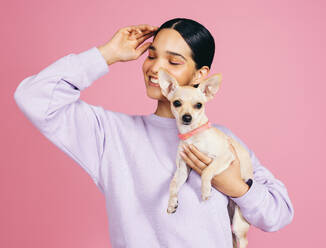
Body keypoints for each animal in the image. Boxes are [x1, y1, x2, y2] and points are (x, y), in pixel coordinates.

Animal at [158, 68, 255, 248]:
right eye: (177, 103)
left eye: (199, 105)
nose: (187, 117)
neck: (192, 135)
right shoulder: (183, 168)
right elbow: (173, 184)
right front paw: (172, 203)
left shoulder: (225, 156)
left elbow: (206, 171)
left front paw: (205, 191)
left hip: (239, 224)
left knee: (242, 239)